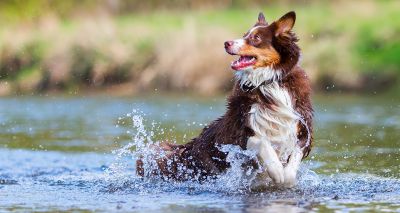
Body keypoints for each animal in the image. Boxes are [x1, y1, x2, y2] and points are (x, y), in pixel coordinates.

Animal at [137, 10, 312, 189]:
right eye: (244, 34)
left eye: (255, 38)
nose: (226, 43)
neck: (268, 82)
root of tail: (191, 147)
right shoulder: (240, 131)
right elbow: (263, 143)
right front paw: (277, 171)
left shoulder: (302, 128)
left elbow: (295, 156)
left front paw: (286, 177)